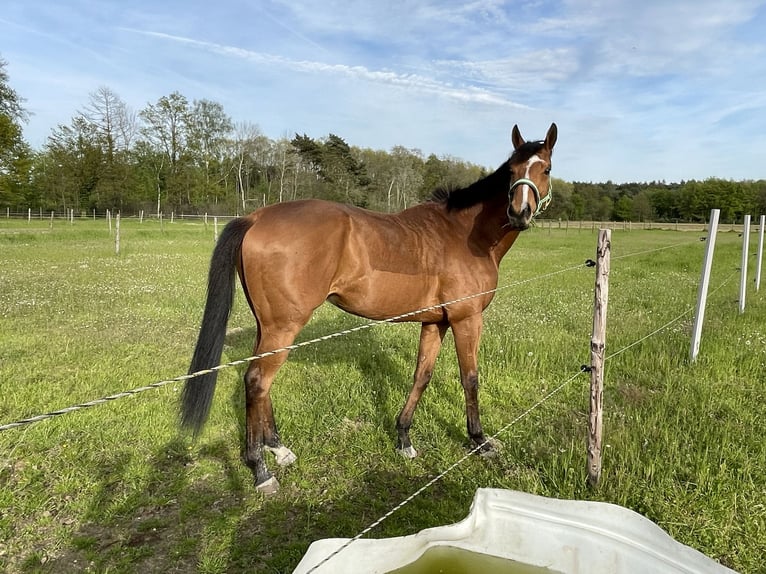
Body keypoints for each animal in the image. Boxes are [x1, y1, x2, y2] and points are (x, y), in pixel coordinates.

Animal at [183, 122, 560, 496]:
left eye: (545, 169)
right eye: (511, 171)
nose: (519, 214)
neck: (466, 235)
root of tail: (255, 216)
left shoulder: (435, 322)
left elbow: (421, 375)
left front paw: (404, 438)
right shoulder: (467, 319)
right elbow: (470, 378)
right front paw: (479, 441)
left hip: (269, 326)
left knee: (260, 382)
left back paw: (278, 448)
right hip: (283, 326)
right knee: (257, 381)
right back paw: (260, 469)